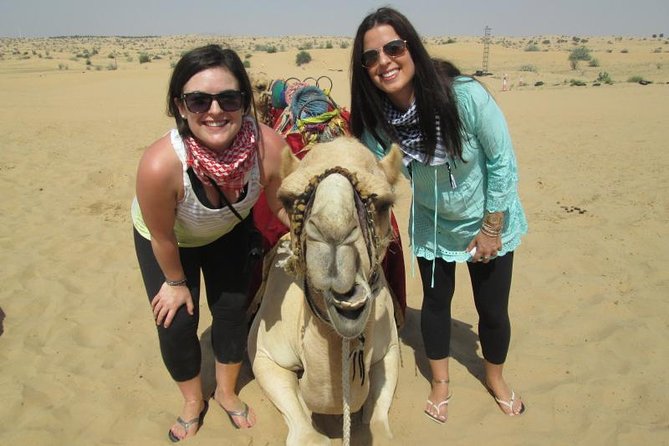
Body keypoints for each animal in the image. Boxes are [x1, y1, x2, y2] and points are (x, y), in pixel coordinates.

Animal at [248, 136, 403, 445]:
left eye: (384, 203)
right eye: (288, 199)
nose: (333, 233)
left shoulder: (390, 349)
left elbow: (379, 420)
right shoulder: (263, 354)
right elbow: (304, 430)